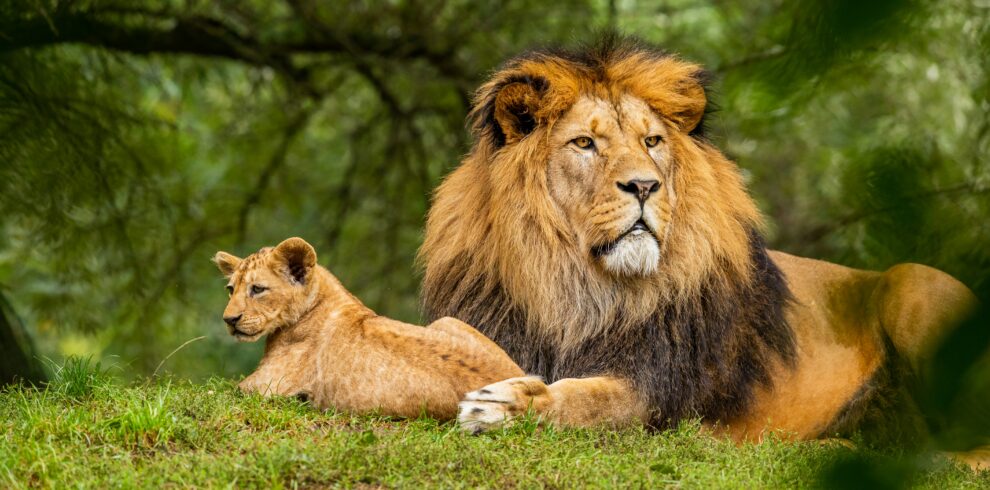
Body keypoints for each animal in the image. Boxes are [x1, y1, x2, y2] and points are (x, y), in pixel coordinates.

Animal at [416, 37, 976, 448]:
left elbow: (586, 400)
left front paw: (505, 406)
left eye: (651, 141)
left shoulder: (657, 390)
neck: (576, 287)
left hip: (912, 283)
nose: (644, 186)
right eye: (585, 143)